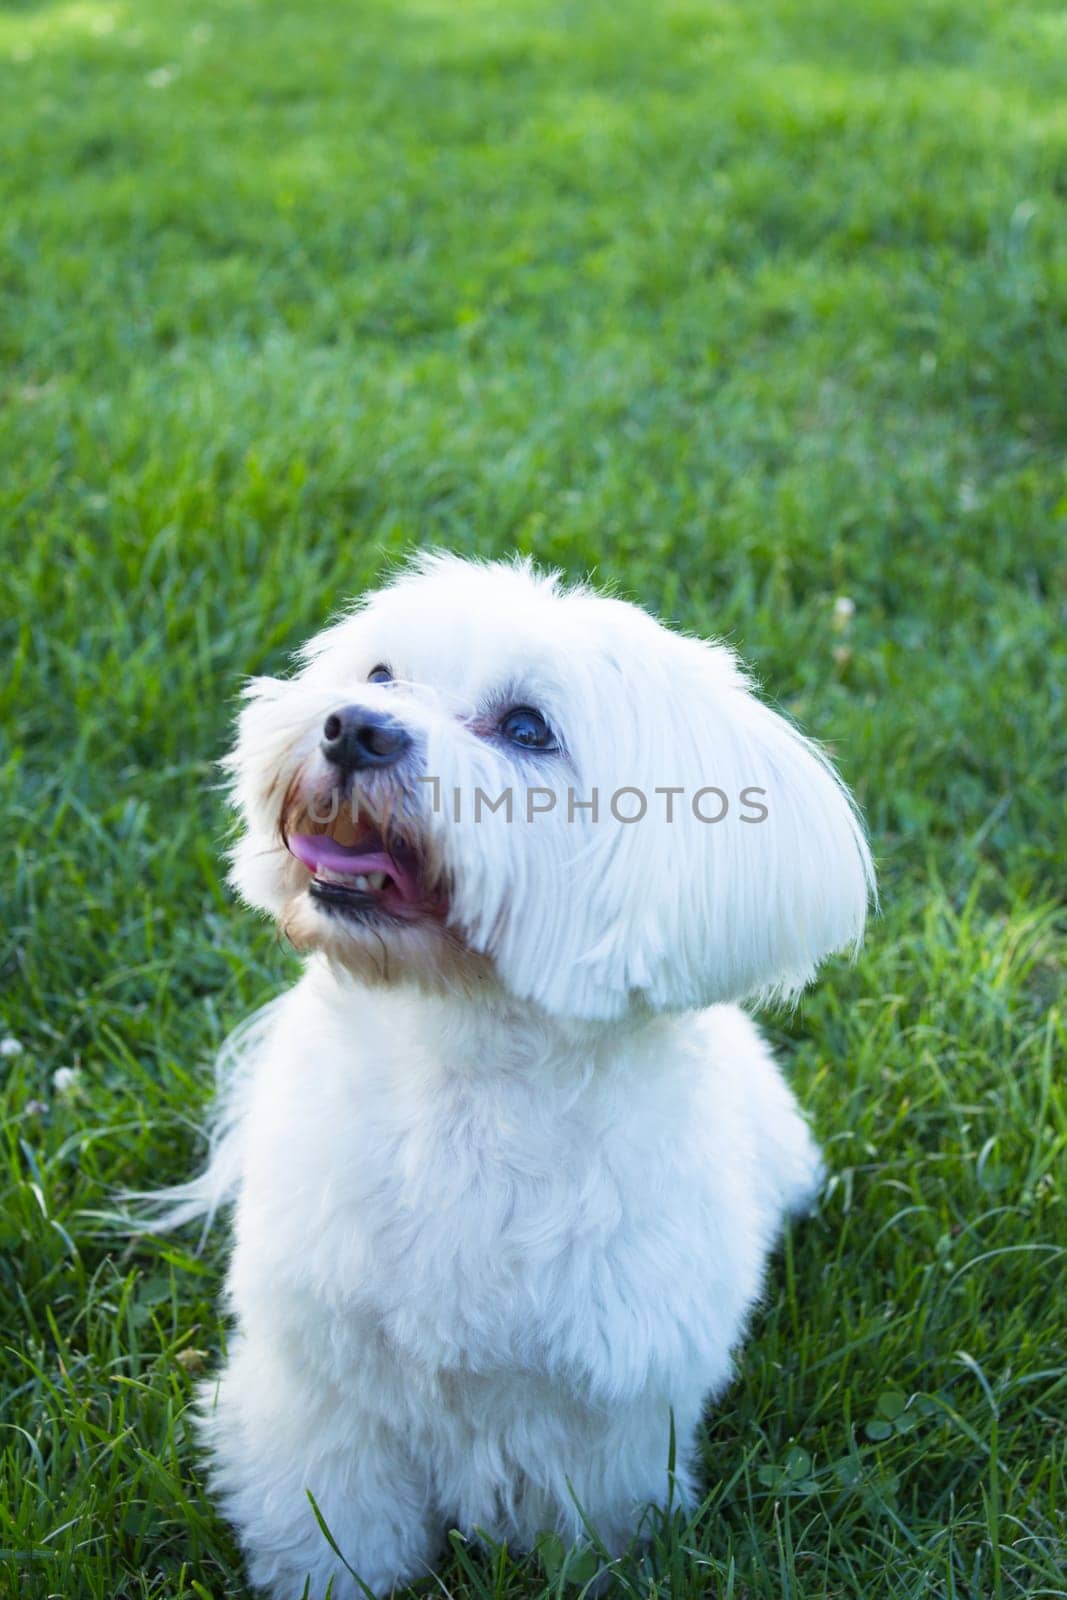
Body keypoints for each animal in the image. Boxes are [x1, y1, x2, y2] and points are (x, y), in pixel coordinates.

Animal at [160, 556, 876, 1593]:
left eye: (529, 729)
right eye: (378, 674)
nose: (354, 728)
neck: (462, 1064)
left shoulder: (606, 1412)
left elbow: (583, 1517)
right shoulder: (320, 1375)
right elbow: (333, 1508)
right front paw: (326, 1575)